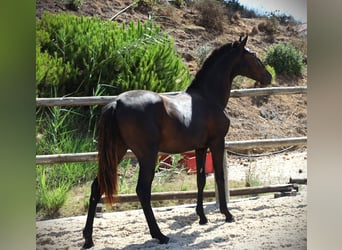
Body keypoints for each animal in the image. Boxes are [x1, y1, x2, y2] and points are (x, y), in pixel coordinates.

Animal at [81, 36, 272, 249]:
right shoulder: (217, 142)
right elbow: (220, 176)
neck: (208, 98)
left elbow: (200, 179)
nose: (268, 77)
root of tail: (116, 103)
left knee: (96, 187)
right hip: (147, 155)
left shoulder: (200, 147)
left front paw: (202, 217)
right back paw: (160, 235)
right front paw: (227, 214)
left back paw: (88, 238)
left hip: (117, 151)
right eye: (254, 57)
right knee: (142, 190)